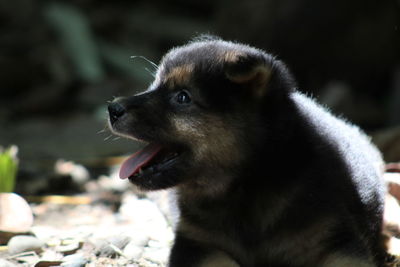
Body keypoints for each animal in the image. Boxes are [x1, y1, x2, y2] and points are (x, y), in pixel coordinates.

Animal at [107, 36, 388, 267]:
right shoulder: (197, 245)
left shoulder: (336, 241)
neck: (244, 187)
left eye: (183, 97)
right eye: (153, 85)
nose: (112, 108)